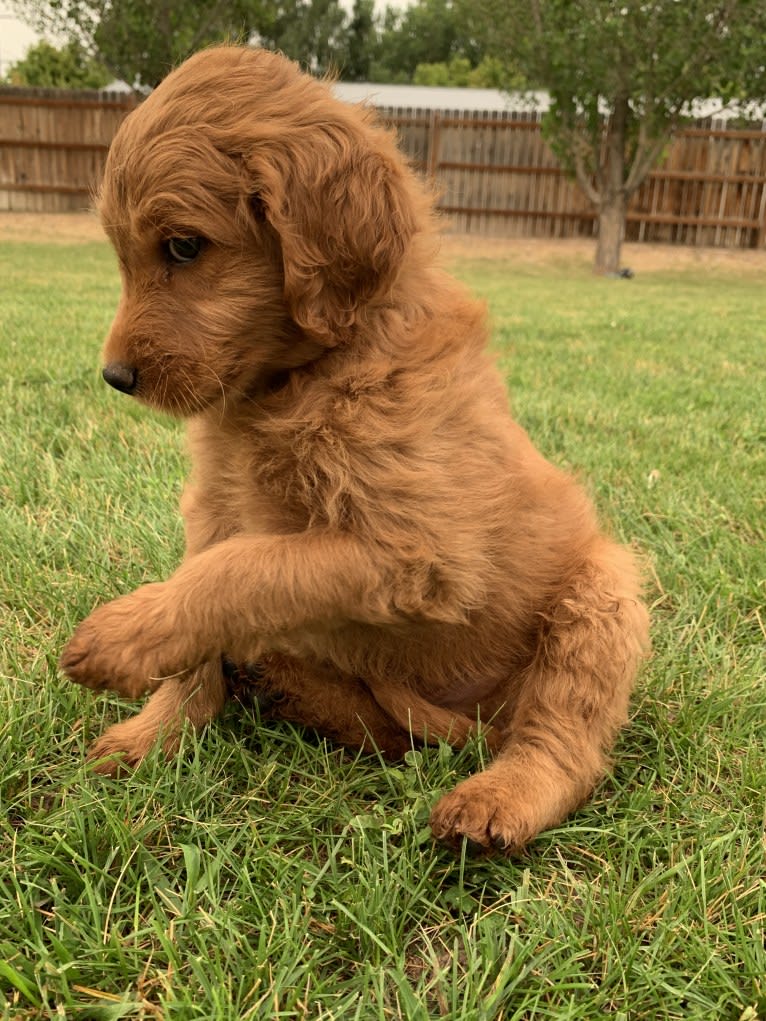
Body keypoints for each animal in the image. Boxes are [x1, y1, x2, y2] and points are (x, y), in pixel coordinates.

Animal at [61, 43, 649, 849]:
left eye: (183, 247)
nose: (115, 377)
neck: (301, 379)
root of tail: (475, 722)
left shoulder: (419, 553)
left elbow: (243, 570)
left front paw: (121, 638)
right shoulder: (216, 508)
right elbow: (202, 620)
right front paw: (155, 734)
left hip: (601, 596)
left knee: (562, 741)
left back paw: (498, 797)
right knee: (384, 729)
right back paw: (291, 688)